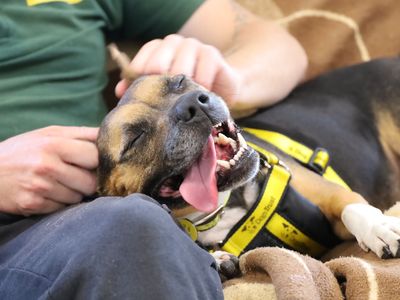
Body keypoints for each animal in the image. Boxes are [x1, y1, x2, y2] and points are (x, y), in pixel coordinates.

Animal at [97, 46, 400, 278]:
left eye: (179, 81)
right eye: (135, 138)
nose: (192, 104)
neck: (225, 208)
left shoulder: (329, 193)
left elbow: (350, 205)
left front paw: (379, 228)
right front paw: (217, 259)